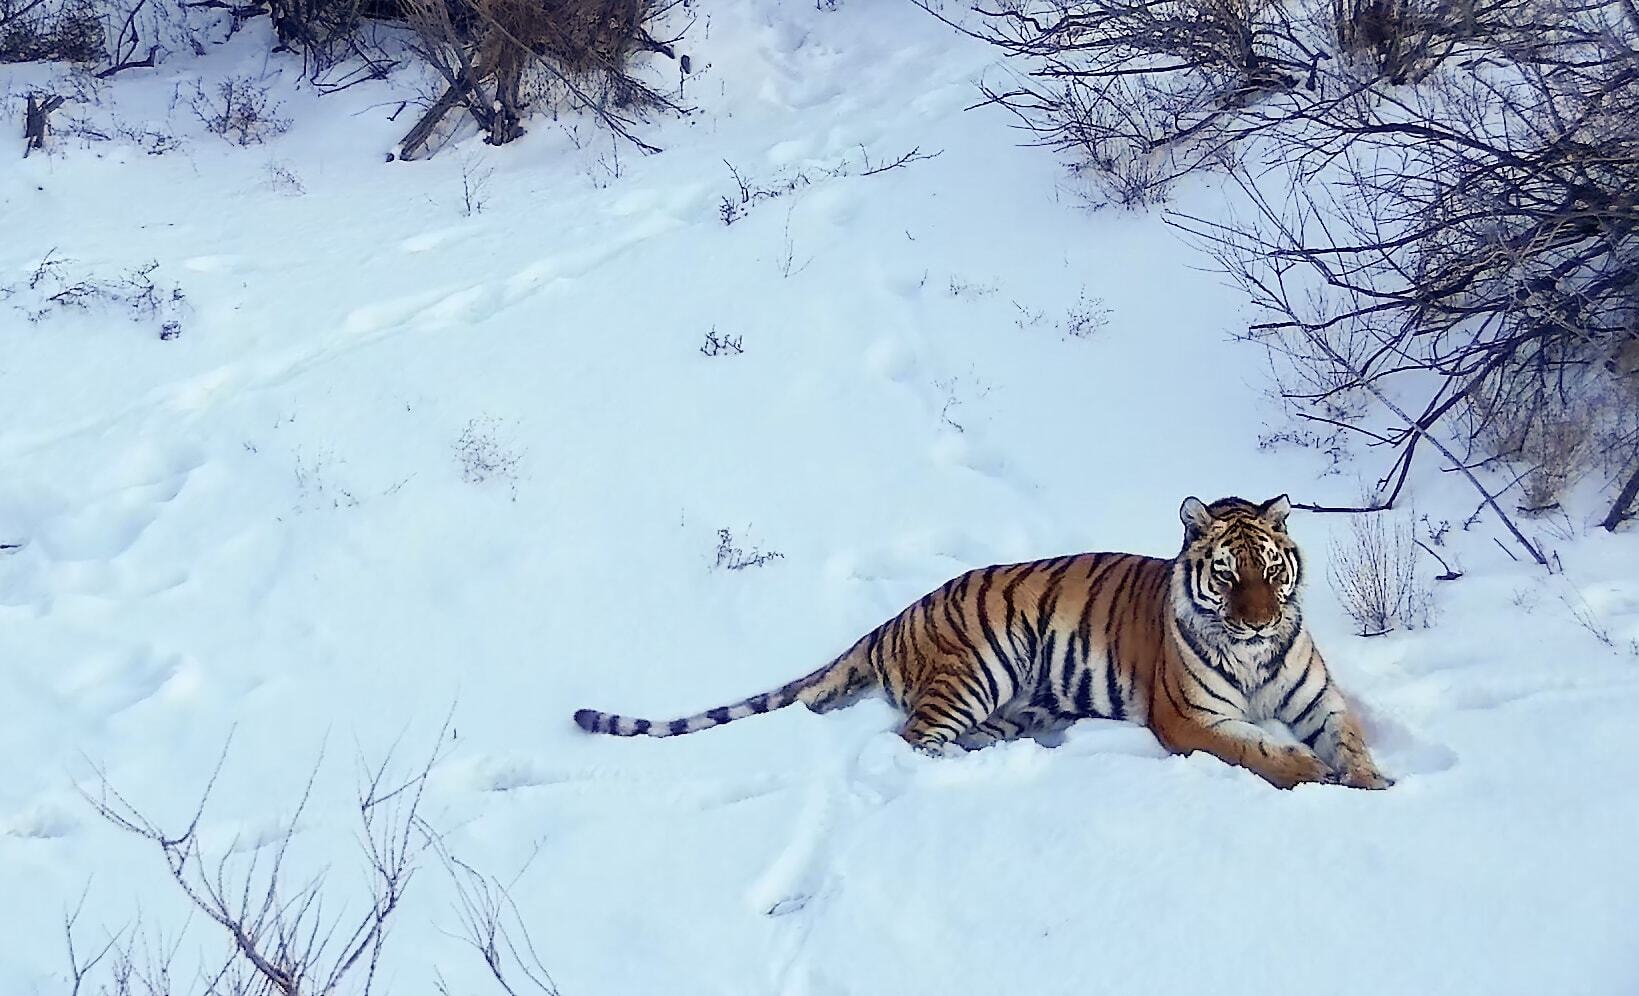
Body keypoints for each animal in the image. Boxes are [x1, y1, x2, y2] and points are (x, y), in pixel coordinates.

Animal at [573, 495, 1392, 789]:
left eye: (1271, 569)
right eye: (1226, 575)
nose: (1258, 620)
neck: (1252, 654)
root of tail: (892, 619)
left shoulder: (1319, 698)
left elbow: (1348, 736)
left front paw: (1371, 781)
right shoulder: (1188, 718)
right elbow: (1256, 751)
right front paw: (1312, 775)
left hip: (1026, 699)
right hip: (981, 667)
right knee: (912, 742)